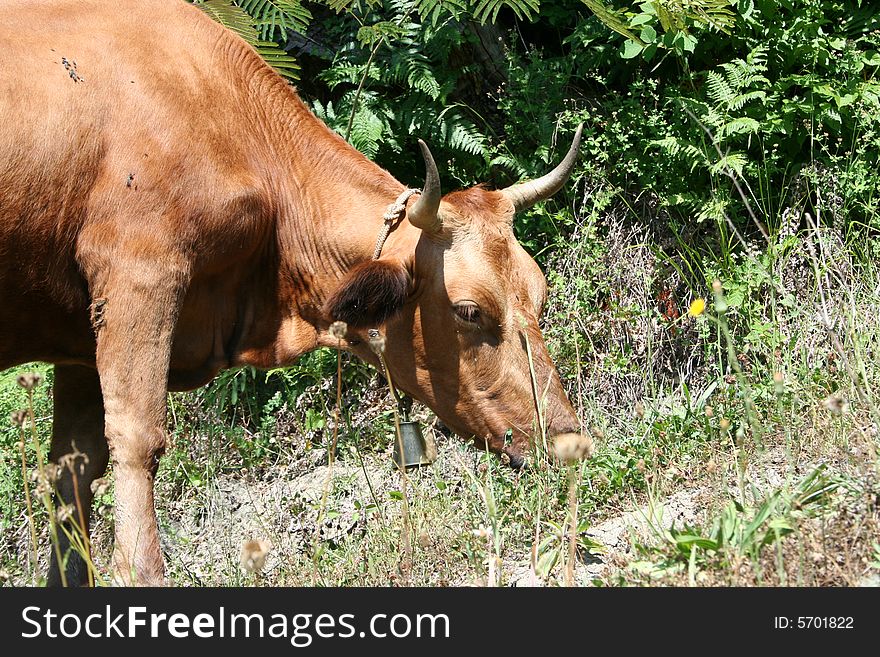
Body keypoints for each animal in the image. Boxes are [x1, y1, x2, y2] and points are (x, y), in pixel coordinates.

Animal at [1, 0, 592, 584]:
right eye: (468, 311)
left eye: (539, 294)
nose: (568, 440)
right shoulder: (137, 275)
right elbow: (137, 439)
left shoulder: (79, 339)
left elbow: (74, 470)